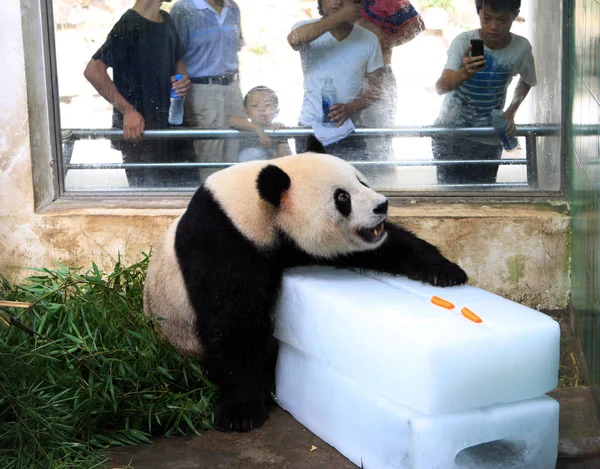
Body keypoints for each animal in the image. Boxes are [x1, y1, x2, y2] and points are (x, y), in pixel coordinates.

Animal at [143, 139, 466, 432]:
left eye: (361, 180)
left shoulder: (298, 246)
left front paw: (445, 271)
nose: (381, 205)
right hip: (180, 336)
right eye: (342, 198)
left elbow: (385, 248)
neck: (255, 207)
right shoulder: (224, 241)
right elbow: (231, 322)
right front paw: (241, 411)